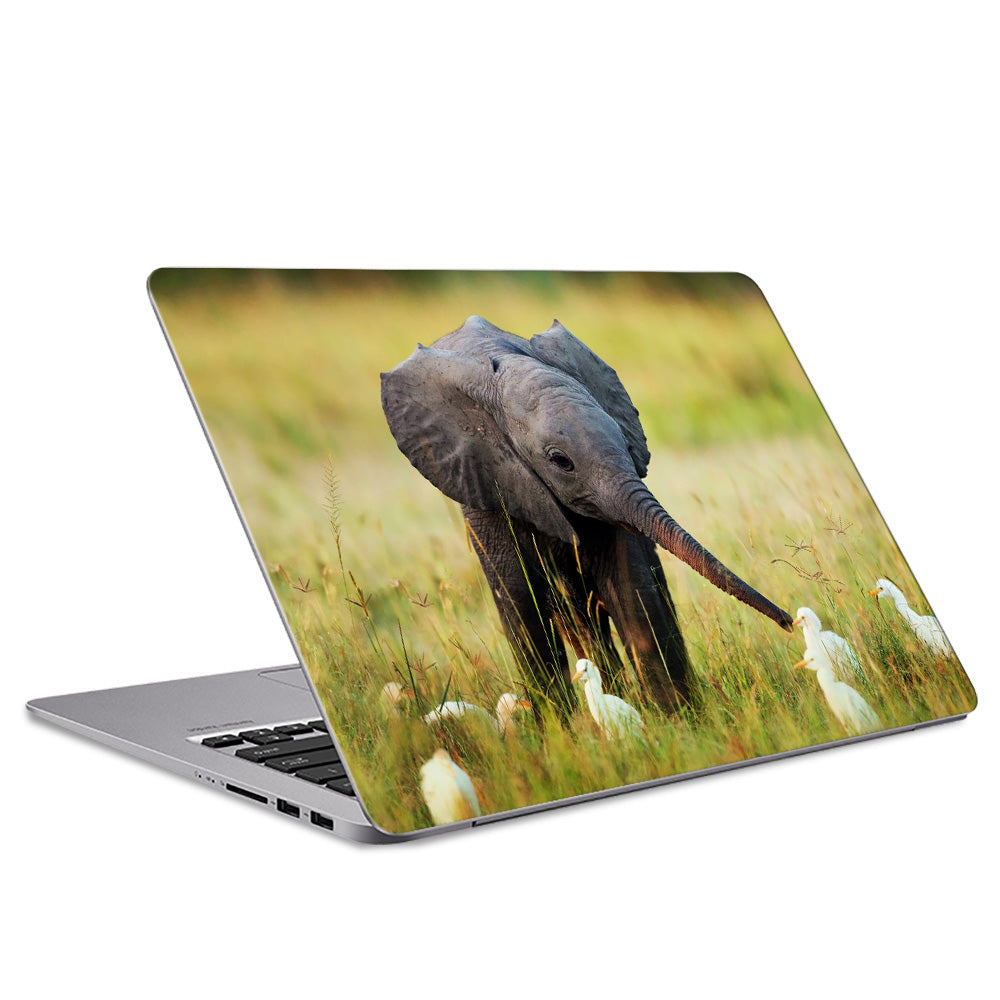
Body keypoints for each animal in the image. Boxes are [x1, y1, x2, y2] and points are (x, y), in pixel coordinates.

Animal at [380, 315, 792, 714]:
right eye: (561, 461)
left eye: (625, 440)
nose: (788, 621)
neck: (506, 367)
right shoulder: (485, 483)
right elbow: (523, 609)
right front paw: (557, 733)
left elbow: (630, 590)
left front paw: (678, 723)